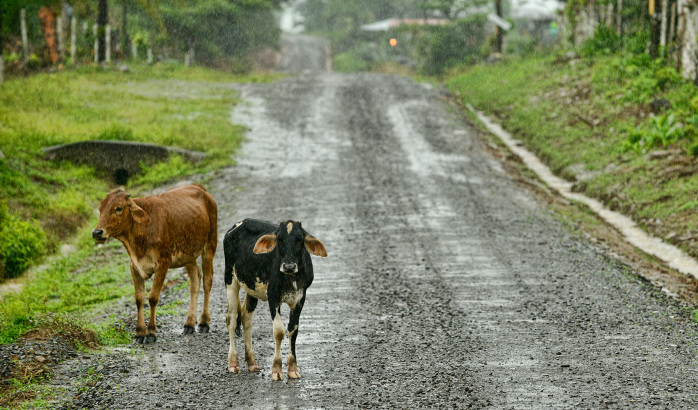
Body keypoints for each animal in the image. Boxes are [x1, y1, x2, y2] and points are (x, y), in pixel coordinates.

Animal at [92, 184, 216, 342]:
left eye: (118, 208)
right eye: (100, 208)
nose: (96, 232)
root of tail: (199, 187)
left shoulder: (163, 263)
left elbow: (153, 297)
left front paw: (151, 332)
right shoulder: (134, 266)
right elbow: (139, 299)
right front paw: (139, 332)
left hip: (210, 245)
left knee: (207, 281)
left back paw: (204, 322)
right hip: (189, 254)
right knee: (195, 282)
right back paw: (189, 323)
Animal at [224, 219, 328, 380]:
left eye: (300, 239)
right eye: (279, 239)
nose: (289, 266)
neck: (291, 277)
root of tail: (238, 225)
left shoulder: (300, 298)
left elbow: (293, 330)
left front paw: (292, 368)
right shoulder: (273, 296)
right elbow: (279, 331)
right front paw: (276, 369)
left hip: (252, 288)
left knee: (246, 318)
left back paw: (252, 362)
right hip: (230, 278)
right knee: (232, 318)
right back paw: (233, 363)